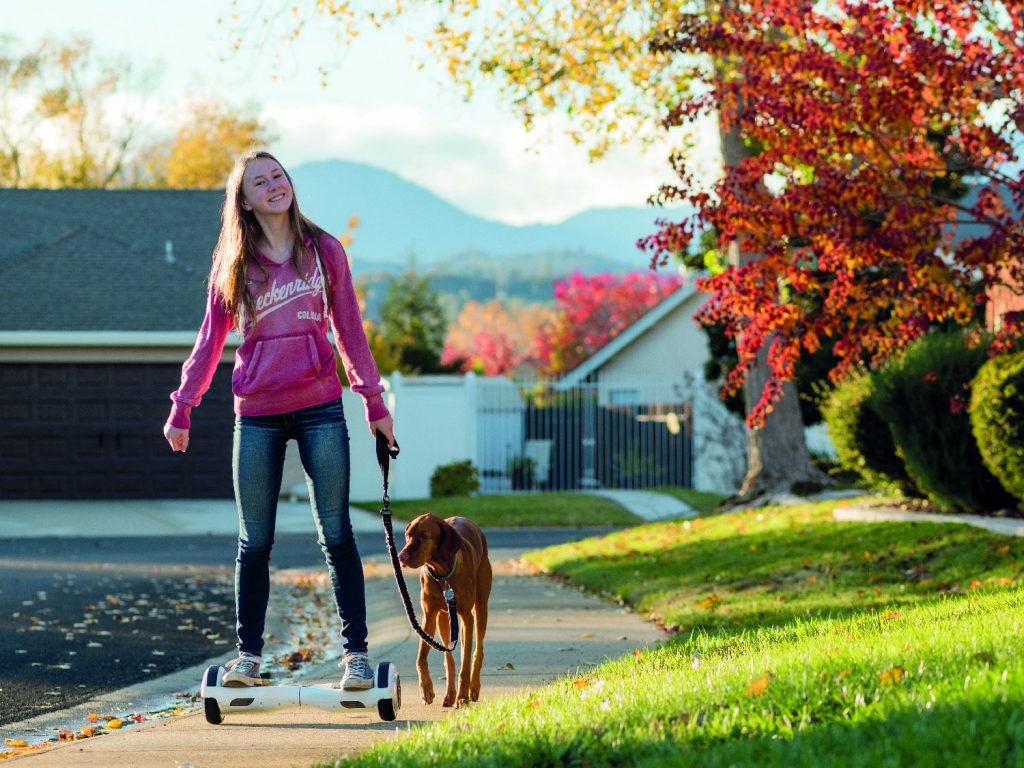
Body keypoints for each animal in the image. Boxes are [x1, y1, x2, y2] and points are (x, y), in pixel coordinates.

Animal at [397, 518, 493, 708]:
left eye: (424, 536)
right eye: (407, 535)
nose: (400, 557)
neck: (442, 573)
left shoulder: (466, 617)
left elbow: (465, 663)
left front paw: (463, 696)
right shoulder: (429, 616)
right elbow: (421, 657)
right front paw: (426, 689)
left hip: (480, 609)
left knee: (478, 650)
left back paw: (473, 688)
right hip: (443, 619)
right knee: (449, 657)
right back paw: (450, 694)